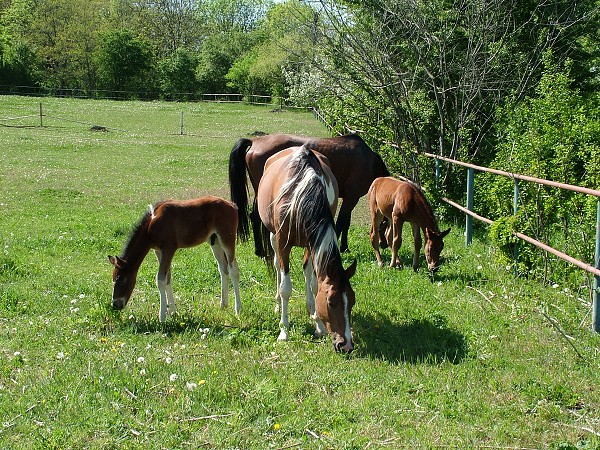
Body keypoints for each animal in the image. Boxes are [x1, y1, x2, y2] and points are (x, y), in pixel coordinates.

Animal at [108, 196, 241, 320]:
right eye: (113, 279)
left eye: (121, 279)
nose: (115, 304)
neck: (151, 226)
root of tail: (233, 205)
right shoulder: (159, 251)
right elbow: (168, 279)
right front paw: (172, 311)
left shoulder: (169, 249)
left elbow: (161, 280)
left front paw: (162, 316)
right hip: (215, 241)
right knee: (223, 269)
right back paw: (223, 305)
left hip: (227, 238)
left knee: (233, 269)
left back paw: (238, 309)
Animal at [229, 133, 390, 253]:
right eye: (387, 224)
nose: (384, 244)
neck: (369, 161)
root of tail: (255, 141)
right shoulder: (351, 198)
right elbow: (341, 223)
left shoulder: (350, 198)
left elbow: (346, 223)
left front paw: (344, 247)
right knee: (256, 217)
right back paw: (261, 251)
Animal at [256, 146, 356, 354]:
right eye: (331, 302)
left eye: (352, 301)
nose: (346, 345)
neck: (302, 191)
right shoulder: (283, 243)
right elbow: (286, 288)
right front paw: (284, 330)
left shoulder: (312, 243)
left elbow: (314, 284)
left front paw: (318, 323)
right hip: (272, 236)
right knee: (277, 266)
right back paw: (277, 304)